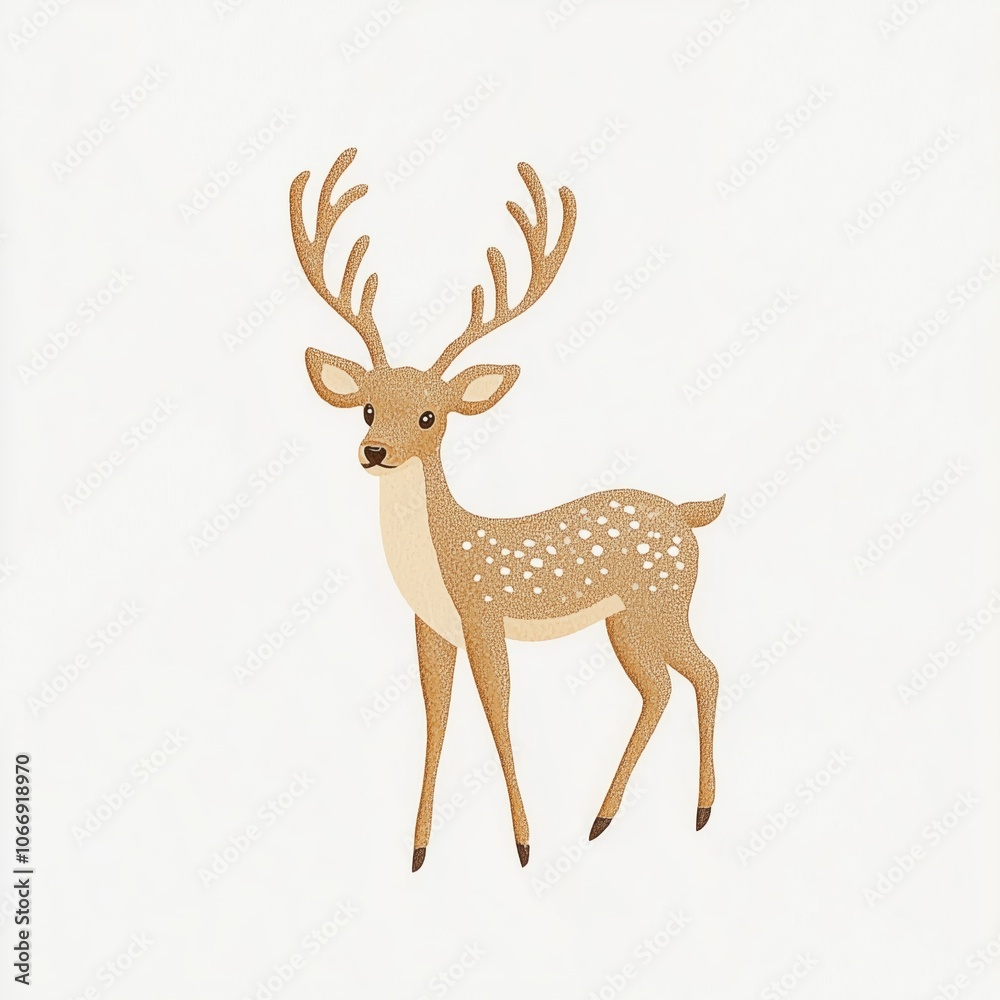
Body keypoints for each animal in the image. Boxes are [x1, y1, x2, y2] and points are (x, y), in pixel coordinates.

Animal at [291, 148, 724, 872]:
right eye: (368, 407)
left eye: (430, 416)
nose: (375, 451)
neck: (439, 559)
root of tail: (692, 513)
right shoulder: (430, 626)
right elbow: (436, 717)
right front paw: (419, 849)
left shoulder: (484, 613)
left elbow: (498, 711)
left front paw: (523, 844)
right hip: (627, 619)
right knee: (662, 687)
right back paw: (605, 819)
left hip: (661, 601)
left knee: (705, 673)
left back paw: (698, 812)